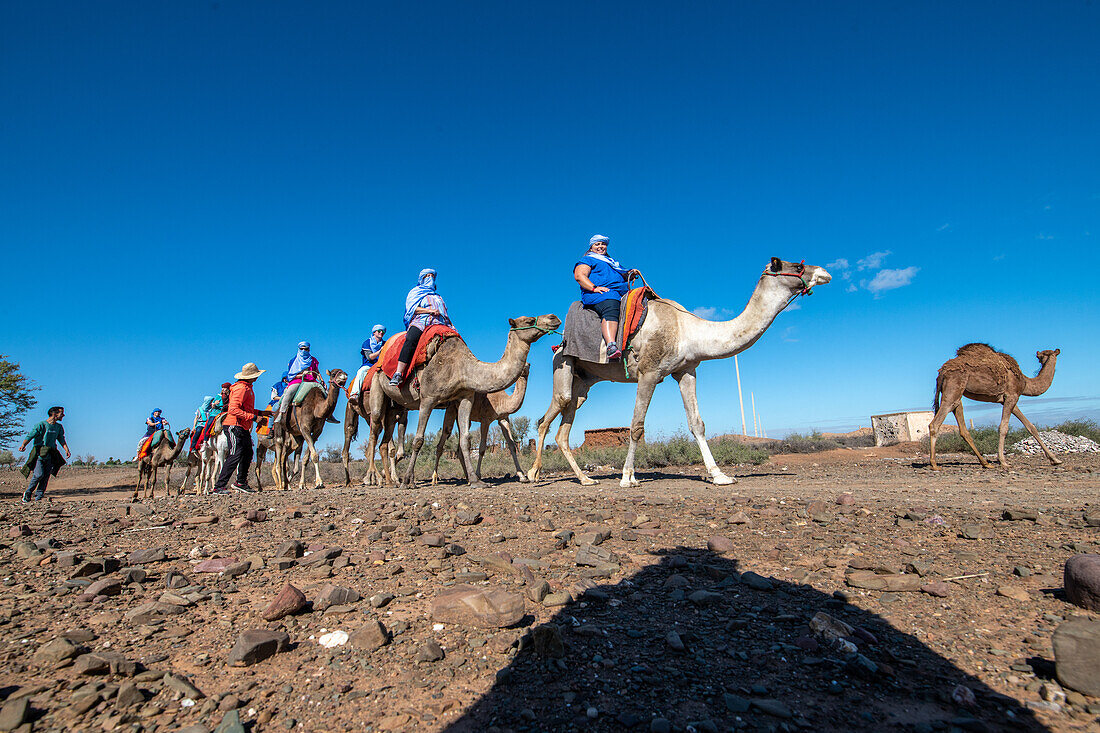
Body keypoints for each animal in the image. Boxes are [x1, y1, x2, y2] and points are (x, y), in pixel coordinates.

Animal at [365, 312, 563, 488]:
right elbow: (419, 440)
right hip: (377, 386)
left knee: (385, 442)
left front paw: (476, 480)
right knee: (374, 431)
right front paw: (406, 481)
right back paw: (376, 479)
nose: (554, 317)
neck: (462, 368)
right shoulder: (428, 399)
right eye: (529, 320)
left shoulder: (465, 398)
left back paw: (394, 480)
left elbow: (466, 440)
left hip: (397, 407)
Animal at [528, 256, 827, 484]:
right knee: (548, 416)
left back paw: (585, 479)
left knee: (564, 427)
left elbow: (697, 424)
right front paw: (628, 477)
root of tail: (559, 342)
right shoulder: (648, 373)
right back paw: (533, 474)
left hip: (584, 383)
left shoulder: (686, 371)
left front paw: (719, 475)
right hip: (563, 366)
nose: (825, 272)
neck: (688, 331)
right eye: (797, 266)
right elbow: (636, 426)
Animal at [932, 343, 1060, 468]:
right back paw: (934, 464)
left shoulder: (1009, 399)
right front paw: (1003, 461)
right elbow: (1003, 427)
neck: (1025, 382)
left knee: (962, 428)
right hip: (953, 387)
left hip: (957, 394)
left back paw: (985, 463)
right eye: (1041, 356)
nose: (1041, 358)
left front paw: (1055, 459)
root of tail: (942, 371)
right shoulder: (1012, 396)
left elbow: (1031, 427)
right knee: (935, 424)